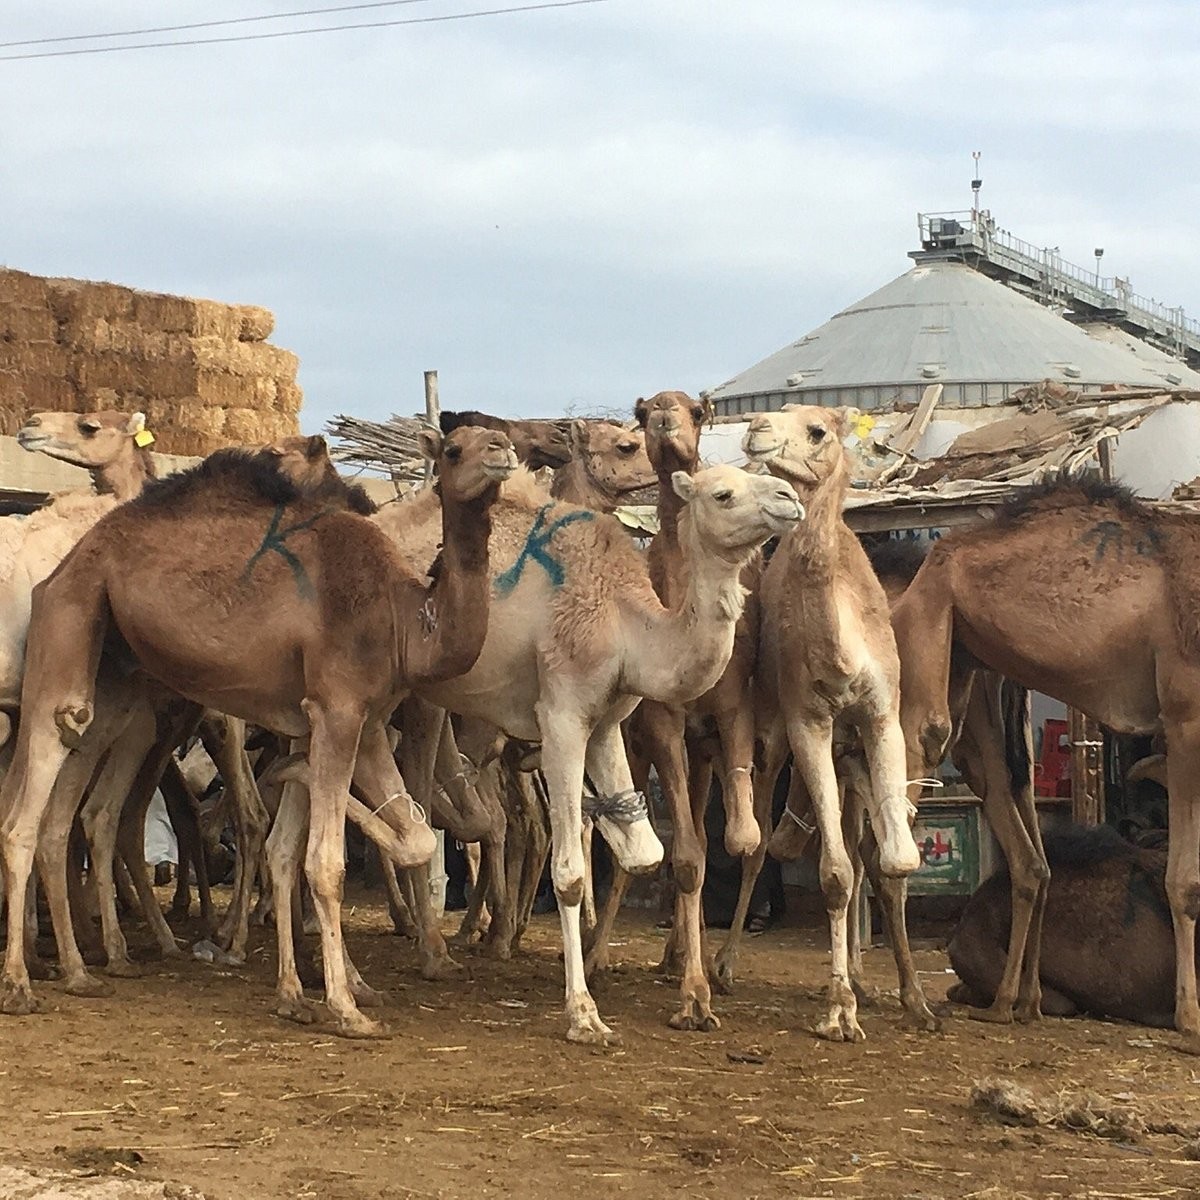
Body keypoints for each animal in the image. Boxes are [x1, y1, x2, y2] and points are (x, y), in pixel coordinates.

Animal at [0, 424, 516, 1032]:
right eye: (455, 448)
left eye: (495, 433)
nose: (502, 450)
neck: (406, 621)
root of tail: (69, 560)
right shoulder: (340, 708)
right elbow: (326, 861)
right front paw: (345, 1007)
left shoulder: (353, 723)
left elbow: (380, 839)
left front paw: (300, 993)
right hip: (72, 615)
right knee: (28, 808)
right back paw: (21, 983)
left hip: (115, 671)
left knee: (69, 805)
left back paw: (82, 971)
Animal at [376, 458, 806, 1041]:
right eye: (722, 494)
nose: (790, 497)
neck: (628, 626)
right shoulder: (561, 716)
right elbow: (571, 874)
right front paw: (583, 1012)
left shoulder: (607, 724)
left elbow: (644, 852)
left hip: (423, 700)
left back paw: (433, 950)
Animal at [739, 403, 916, 1041]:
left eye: (817, 431)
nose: (755, 429)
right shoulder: (807, 721)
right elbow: (835, 873)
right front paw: (839, 1009)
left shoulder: (882, 716)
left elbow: (895, 860)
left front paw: (913, 1000)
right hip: (772, 735)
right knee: (759, 843)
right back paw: (723, 967)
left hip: (850, 754)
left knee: (864, 849)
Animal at [892, 472, 1200, 1056]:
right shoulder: (1184, 716)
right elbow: (1186, 882)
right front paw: (1190, 1023)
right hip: (928, 646)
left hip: (975, 675)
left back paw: (1013, 1004)